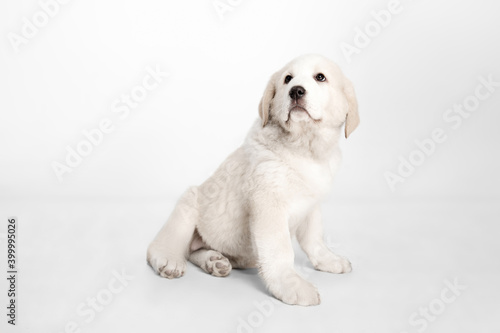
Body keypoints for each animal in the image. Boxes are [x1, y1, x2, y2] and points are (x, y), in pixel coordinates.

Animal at [146, 53, 360, 304]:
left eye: (320, 77)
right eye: (288, 79)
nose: (296, 91)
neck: (304, 149)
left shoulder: (312, 205)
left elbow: (314, 239)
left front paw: (328, 260)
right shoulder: (269, 204)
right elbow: (280, 250)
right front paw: (290, 284)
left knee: (194, 251)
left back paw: (213, 261)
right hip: (187, 205)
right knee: (164, 244)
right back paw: (170, 260)